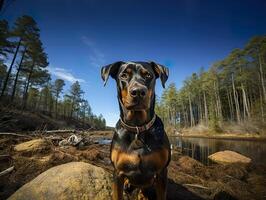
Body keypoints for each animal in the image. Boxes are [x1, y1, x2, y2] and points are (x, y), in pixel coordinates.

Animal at [101, 61, 171, 199]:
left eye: (148, 75)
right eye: (124, 75)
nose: (138, 91)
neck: (137, 127)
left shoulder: (161, 173)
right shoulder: (118, 173)